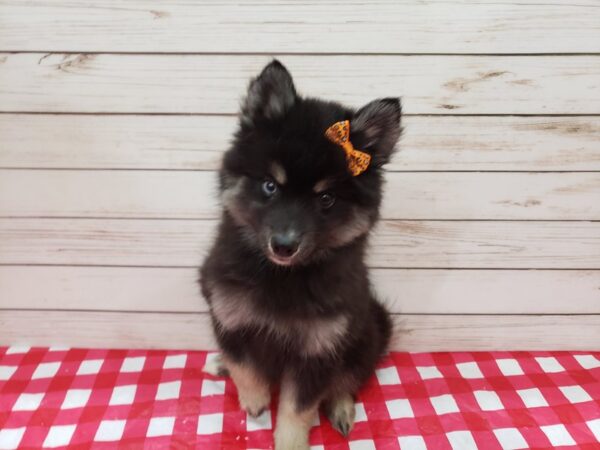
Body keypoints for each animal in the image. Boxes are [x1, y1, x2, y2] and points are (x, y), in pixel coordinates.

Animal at [202, 60, 404, 450]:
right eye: (270, 186)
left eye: (325, 199)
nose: (284, 245)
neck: (284, 275)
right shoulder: (228, 314)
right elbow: (243, 365)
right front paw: (254, 399)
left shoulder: (319, 349)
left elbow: (298, 408)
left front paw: (290, 441)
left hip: (368, 332)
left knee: (349, 379)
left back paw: (341, 409)